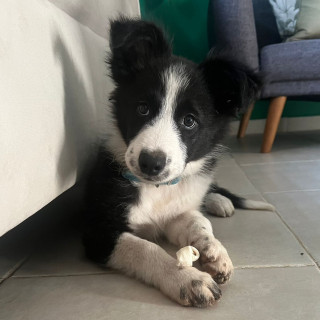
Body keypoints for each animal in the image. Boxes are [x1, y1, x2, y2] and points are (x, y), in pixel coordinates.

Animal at [84, 17, 274, 308]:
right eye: (142, 108)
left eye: (189, 121)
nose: (151, 163)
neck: (158, 190)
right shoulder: (99, 232)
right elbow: (144, 247)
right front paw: (187, 279)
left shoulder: (176, 212)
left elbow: (198, 222)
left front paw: (214, 250)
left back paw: (219, 201)